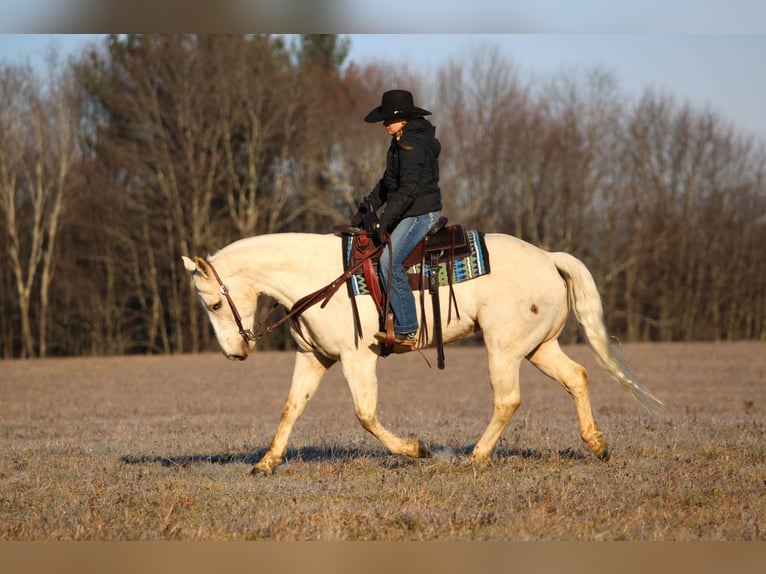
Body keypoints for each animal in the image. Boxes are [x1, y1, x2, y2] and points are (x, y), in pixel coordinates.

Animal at [182, 231, 662, 475]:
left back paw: (477, 457)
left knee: (507, 400)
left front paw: (416, 449)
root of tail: (548, 257)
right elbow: (290, 409)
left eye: (214, 304)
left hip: (504, 349)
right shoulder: (314, 358)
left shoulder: (357, 359)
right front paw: (266, 463)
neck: (318, 276)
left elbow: (366, 416)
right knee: (577, 376)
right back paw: (597, 445)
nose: (235, 352)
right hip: (539, 348)